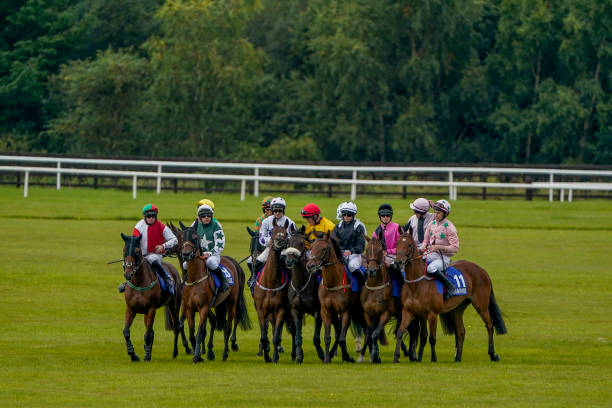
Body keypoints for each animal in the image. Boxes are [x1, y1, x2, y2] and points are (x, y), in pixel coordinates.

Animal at [118, 234, 188, 362]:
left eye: (137, 251)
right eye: (124, 250)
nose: (128, 274)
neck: (139, 283)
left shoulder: (151, 309)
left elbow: (147, 334)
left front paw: (146, 356)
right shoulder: (131, 309)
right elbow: (126, 332)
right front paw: (133, 354)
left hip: (174, 305)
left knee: (176, 326)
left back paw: (175, 352)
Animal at [179, 226, 251, 364]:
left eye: (195, 237)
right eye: (181, 237)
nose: (186, 254)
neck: (195, 279)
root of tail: (233, 262)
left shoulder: (203, 307)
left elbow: (199, 332)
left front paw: (197, 356)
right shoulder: (189, 308)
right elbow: (192, 334)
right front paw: (199, 354)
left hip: (232, 301)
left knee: (230, 325)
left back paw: (226, 352)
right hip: (220, 303)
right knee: (220, 322)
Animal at [252, 218, 292, 362]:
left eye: (285, 233)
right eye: (272, 231)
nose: (279, 243)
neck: (270, 283)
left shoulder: (281, 310)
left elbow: (276, 336)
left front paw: (274, 357)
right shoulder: (261, 310)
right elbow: (264, 336)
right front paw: (266, 355)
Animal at [306, 233, 364, 364]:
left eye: (324, 249)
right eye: (311, 247)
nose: (310, 265)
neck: (333, 283)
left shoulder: (346, 311)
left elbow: (341, 338)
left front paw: (347, 357)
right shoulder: (326, 311)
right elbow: (328, 337)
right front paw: (327, 358)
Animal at [392, 233, 506, 364]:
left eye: (409, 244)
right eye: (397, 243)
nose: (397, 262)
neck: (416, 284)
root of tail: (482, 270)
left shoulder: (432, 314)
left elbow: (432, 338)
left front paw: (433, 358)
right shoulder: (410, 311)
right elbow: (405, 333)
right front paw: (400, 357)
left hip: (481, 305)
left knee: (489, 325)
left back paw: (492, 354)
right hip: (457, 308)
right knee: (461, 331)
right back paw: (458, 357)